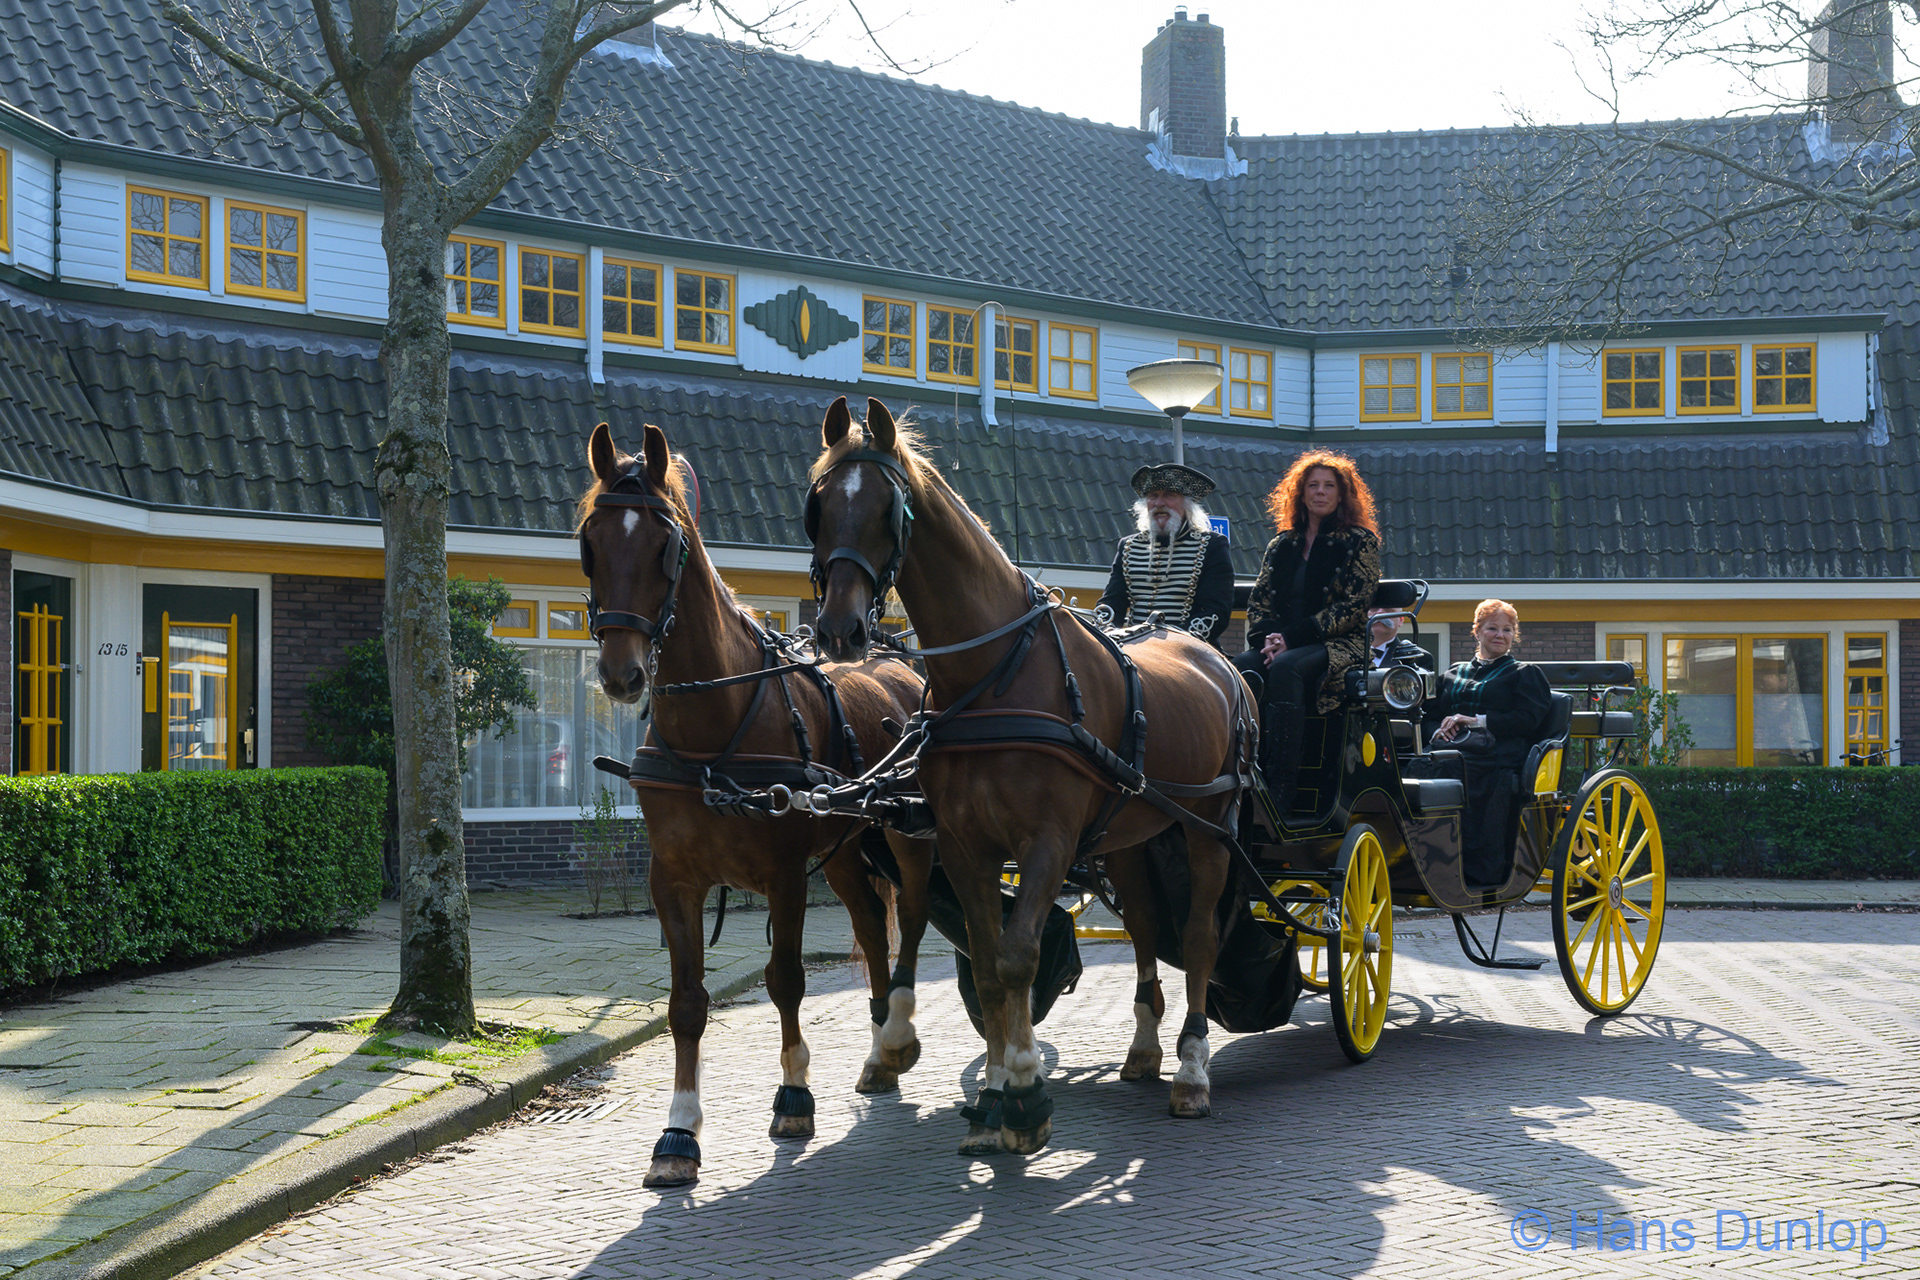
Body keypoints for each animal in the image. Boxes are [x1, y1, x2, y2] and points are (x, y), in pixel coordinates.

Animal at [579, 420, 936, 1188]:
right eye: (590, 541)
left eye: (666, 547)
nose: (622, 674)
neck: (715, 725)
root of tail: (897, 659)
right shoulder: (672, 879)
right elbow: (687, 1004)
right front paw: (678, 1133)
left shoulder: (782, 875)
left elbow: (787, 981)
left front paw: (794, 1097)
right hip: (845, 853)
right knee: (872, 929)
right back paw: (877, 1056)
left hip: (908, 839)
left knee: (917, 923)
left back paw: (903, 1035)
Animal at [804, 396, 1257, 1155]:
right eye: (818, 503)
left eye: (888, 509)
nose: (839, 629)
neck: (994, 675)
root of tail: (1213, 656)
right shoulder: (966, 846)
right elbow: (988, 966)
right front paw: (993, 1098)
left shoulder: (1047, 841)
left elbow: (1018, 956)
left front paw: (1022, 1091)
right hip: (1134, 835)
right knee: (1143, 927)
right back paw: (1143, 1051)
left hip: (1209, 830)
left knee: (1196, 936)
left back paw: (1192, 1073)